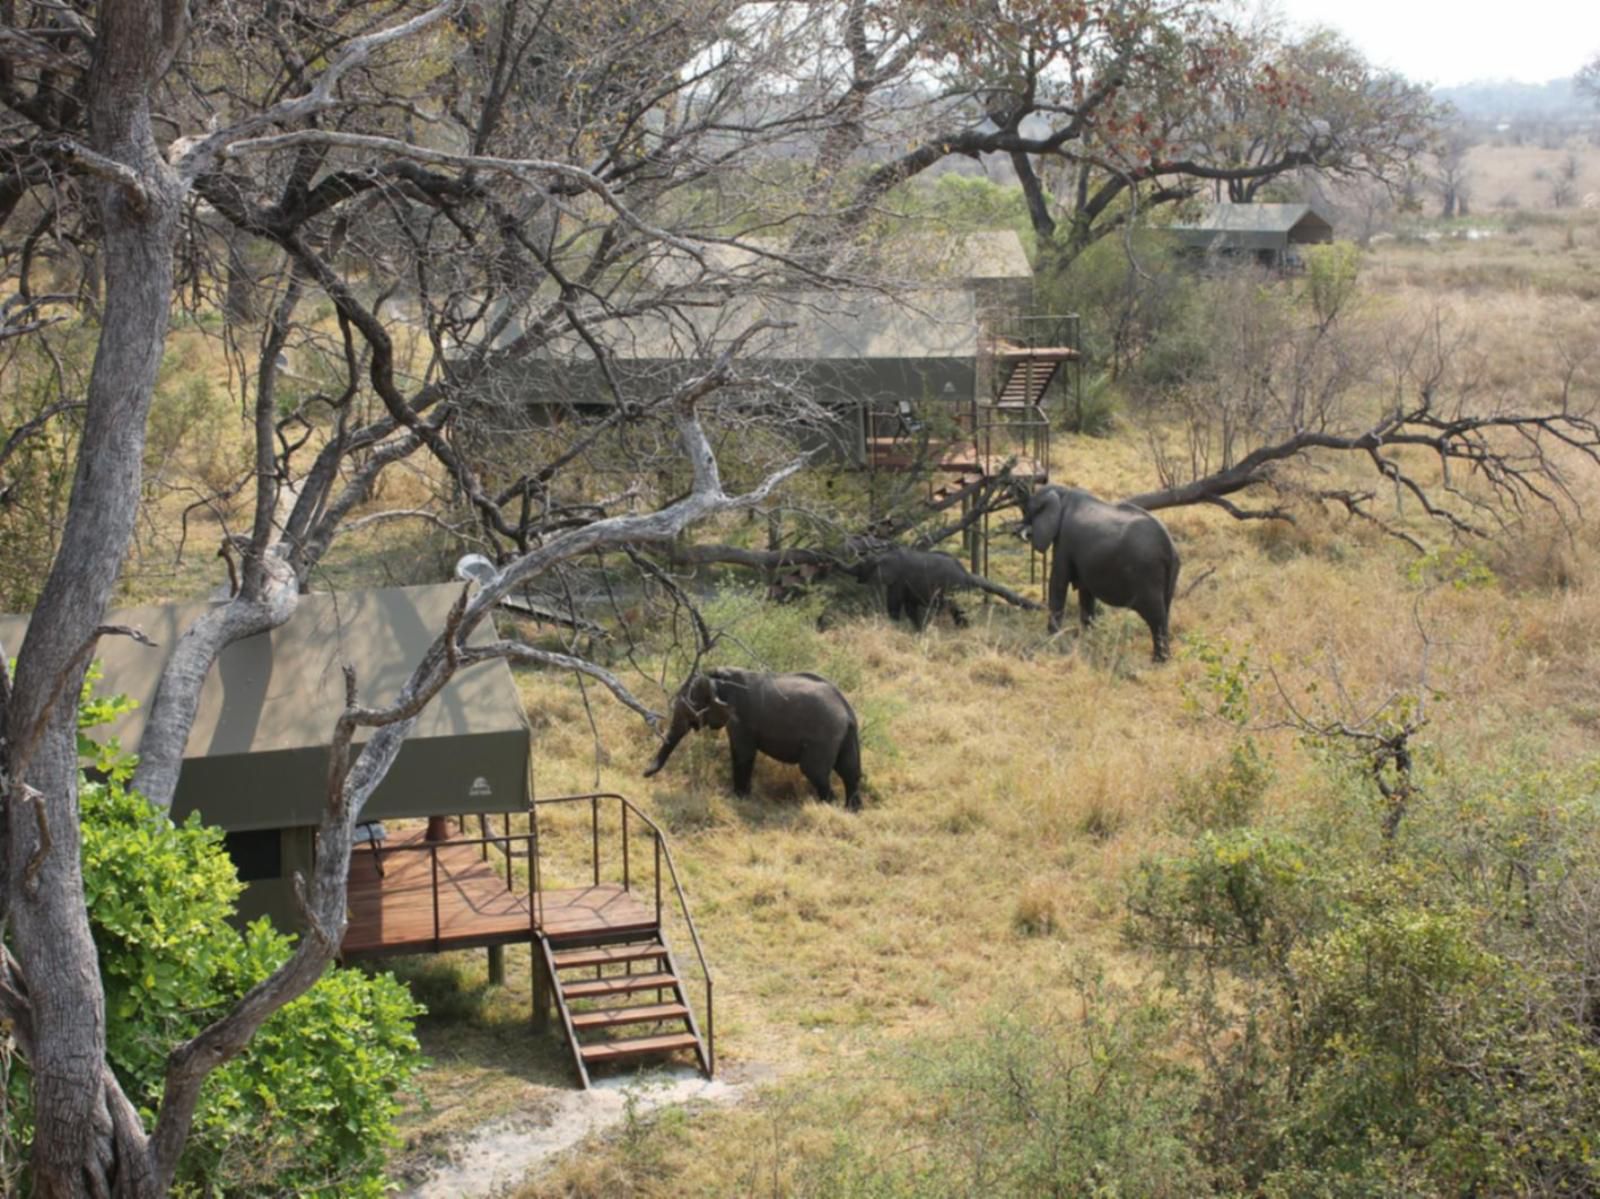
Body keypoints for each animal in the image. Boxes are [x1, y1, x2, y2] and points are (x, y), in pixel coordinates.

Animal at [643, 669, 864, 810]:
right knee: (850, 772)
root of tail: (847, 711)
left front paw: (737, 799)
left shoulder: (740, 718)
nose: (644, 774)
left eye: (692, 706)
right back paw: (852, 811)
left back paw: (829, 807)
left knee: (815, 771)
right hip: (844, 735)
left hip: (824, 736)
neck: (716, 676)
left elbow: (742, 753)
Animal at [844, 547, 1043, 630]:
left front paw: (895, 626)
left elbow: (895, 605)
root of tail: (966, 574)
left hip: (950, 589)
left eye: (861, 566)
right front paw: (918, 630)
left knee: (953, 608)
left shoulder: (898, 580)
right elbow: (910, 608)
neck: (883, 556)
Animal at [1017, 480, 1184, 659]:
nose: (1021, 532)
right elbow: (1085, 593)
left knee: (1156, 616)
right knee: (1165, 612)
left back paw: (1158, 660)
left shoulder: (1064, 540)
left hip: (1148, 573)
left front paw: (1050, 639)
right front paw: (1087, 639)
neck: (1063, 492)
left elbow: (1058, 583)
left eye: (1028, 510)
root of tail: (1169, 546)